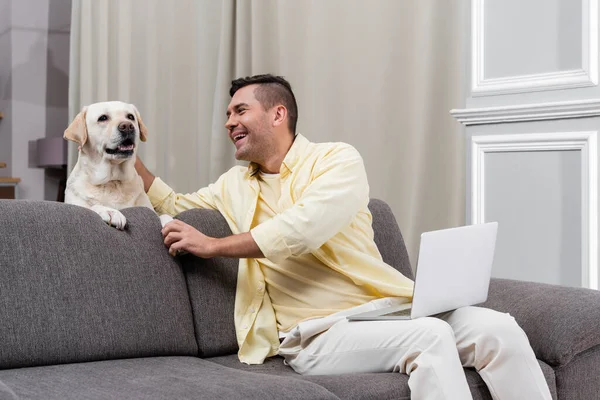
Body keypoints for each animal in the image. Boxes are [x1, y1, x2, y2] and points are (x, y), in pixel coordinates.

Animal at [63, 101, 170, 230]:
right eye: (103, 118)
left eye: (130, 117)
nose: (127, 126)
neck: (112, 181)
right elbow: (92, 207)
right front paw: (111, 212)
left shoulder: (149, 208)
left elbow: (163, 215)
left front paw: (170, 223)